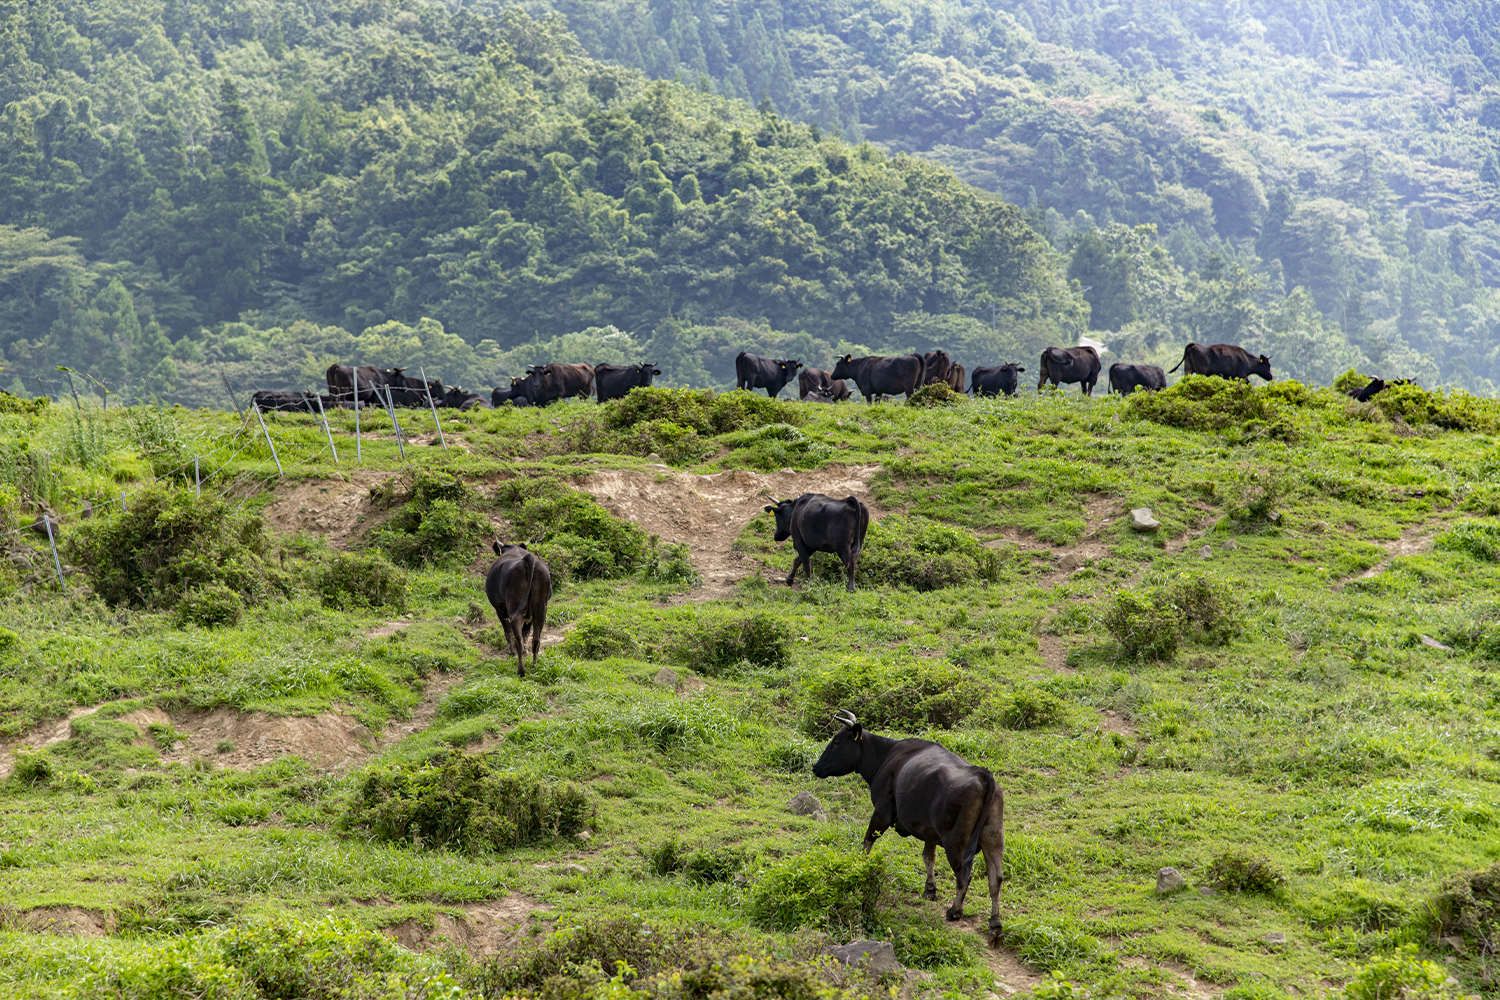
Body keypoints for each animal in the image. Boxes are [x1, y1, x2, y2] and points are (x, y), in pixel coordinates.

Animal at [483, 548, 555, 680]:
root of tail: (527, 559)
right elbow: (526, 632)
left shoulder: (499, 609)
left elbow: (508, 631)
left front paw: (511, 652)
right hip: (540, 609)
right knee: (536, 639)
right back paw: (534, 664)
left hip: (514, 607)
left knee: (518, 639)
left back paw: (521, 670)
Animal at [810, 707, 1008, 941]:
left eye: (837, 742)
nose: (815, 767)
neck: (886, 755)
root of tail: (982, 773)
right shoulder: (930, 831)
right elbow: (928, 857)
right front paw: (930, 890)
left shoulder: (883, 812)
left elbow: (867, 840)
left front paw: (859, 866)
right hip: (993, 840)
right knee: (996, 879)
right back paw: (995, 924)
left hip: (956, 842)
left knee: (964, 876)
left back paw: (954, 911)